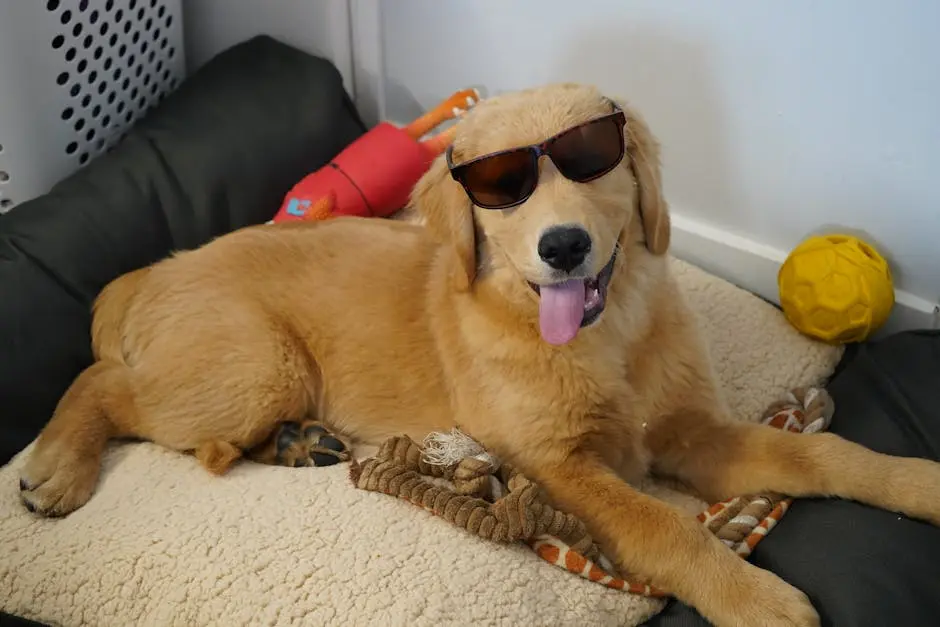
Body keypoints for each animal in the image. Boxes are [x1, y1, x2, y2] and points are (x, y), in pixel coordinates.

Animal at [16, 84, 940, 627]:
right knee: (103, 380)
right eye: (501, 187)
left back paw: (300, 443)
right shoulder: (556, 464)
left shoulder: (691, 429)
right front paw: (754, 598)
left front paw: (916, 482)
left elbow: (823, 453)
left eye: (591, 161)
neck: (604, 337)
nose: (563, 247)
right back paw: (56, 467)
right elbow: (663, 525)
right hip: (253, 367)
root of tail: (152, 271)